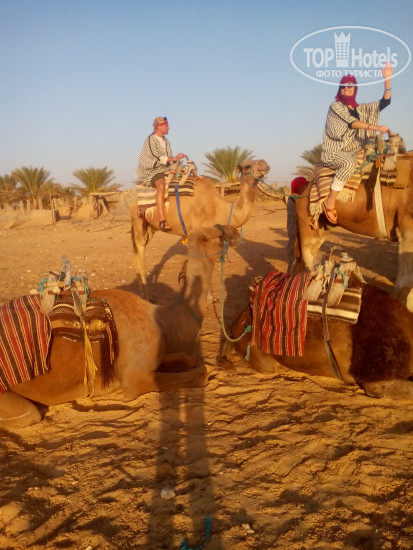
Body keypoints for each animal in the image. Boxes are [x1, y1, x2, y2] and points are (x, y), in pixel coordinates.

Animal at [0, 225, 240, 430]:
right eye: (219, 234)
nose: (236, 232)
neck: (162, 320)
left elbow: (189, 358)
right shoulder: (135, 378)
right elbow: (201, 373)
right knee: (30, 414)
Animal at [130, 159, 270, 299]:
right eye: (247, 165)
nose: (264, 164)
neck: (217, 208)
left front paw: (210, 297)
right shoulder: (197, 232)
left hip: (150, 228)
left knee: (136, 257)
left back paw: (141, 293)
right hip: (138, 222)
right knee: (140, 255)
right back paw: (148, 296)